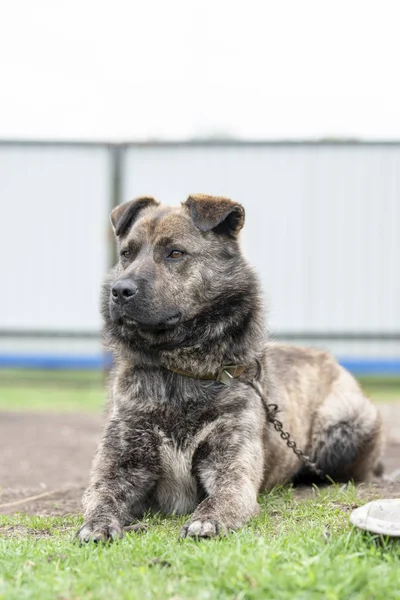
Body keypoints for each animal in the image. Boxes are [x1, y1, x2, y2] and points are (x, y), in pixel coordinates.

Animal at [77, 195, 384, 540]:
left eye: (175, 253)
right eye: (127, 254)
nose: (120, 291)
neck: (180, 372)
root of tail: (329, 358)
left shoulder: (232, 467)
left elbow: (223, 497)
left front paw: (208, 519)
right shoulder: (120, 463)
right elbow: (101, 496)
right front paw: (98, 524)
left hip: (345, 424)